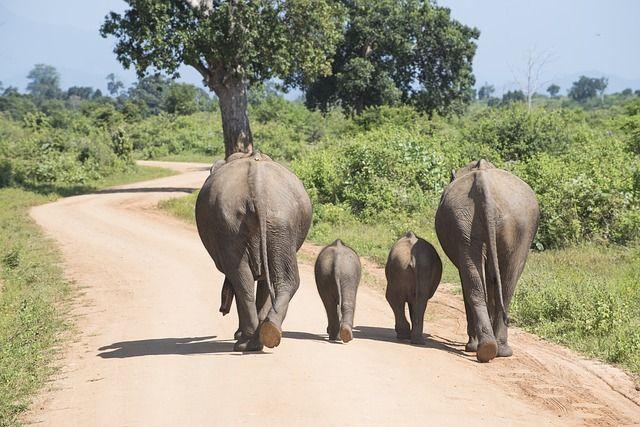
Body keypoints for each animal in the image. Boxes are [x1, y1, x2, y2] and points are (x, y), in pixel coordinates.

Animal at [198, 152, 312, 352]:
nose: (222, 310)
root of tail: (257, 187)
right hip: (272, 222)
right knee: (274, 279)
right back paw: (266, 333)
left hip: (239, 224)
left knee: (242, 277)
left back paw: (247, 342)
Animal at [438, 160, 536, 362]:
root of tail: (484, 188)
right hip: (500, 226)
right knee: (505, 286)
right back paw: (495, 349)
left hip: (474, 223)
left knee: (480, 284)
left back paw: (484, 348)